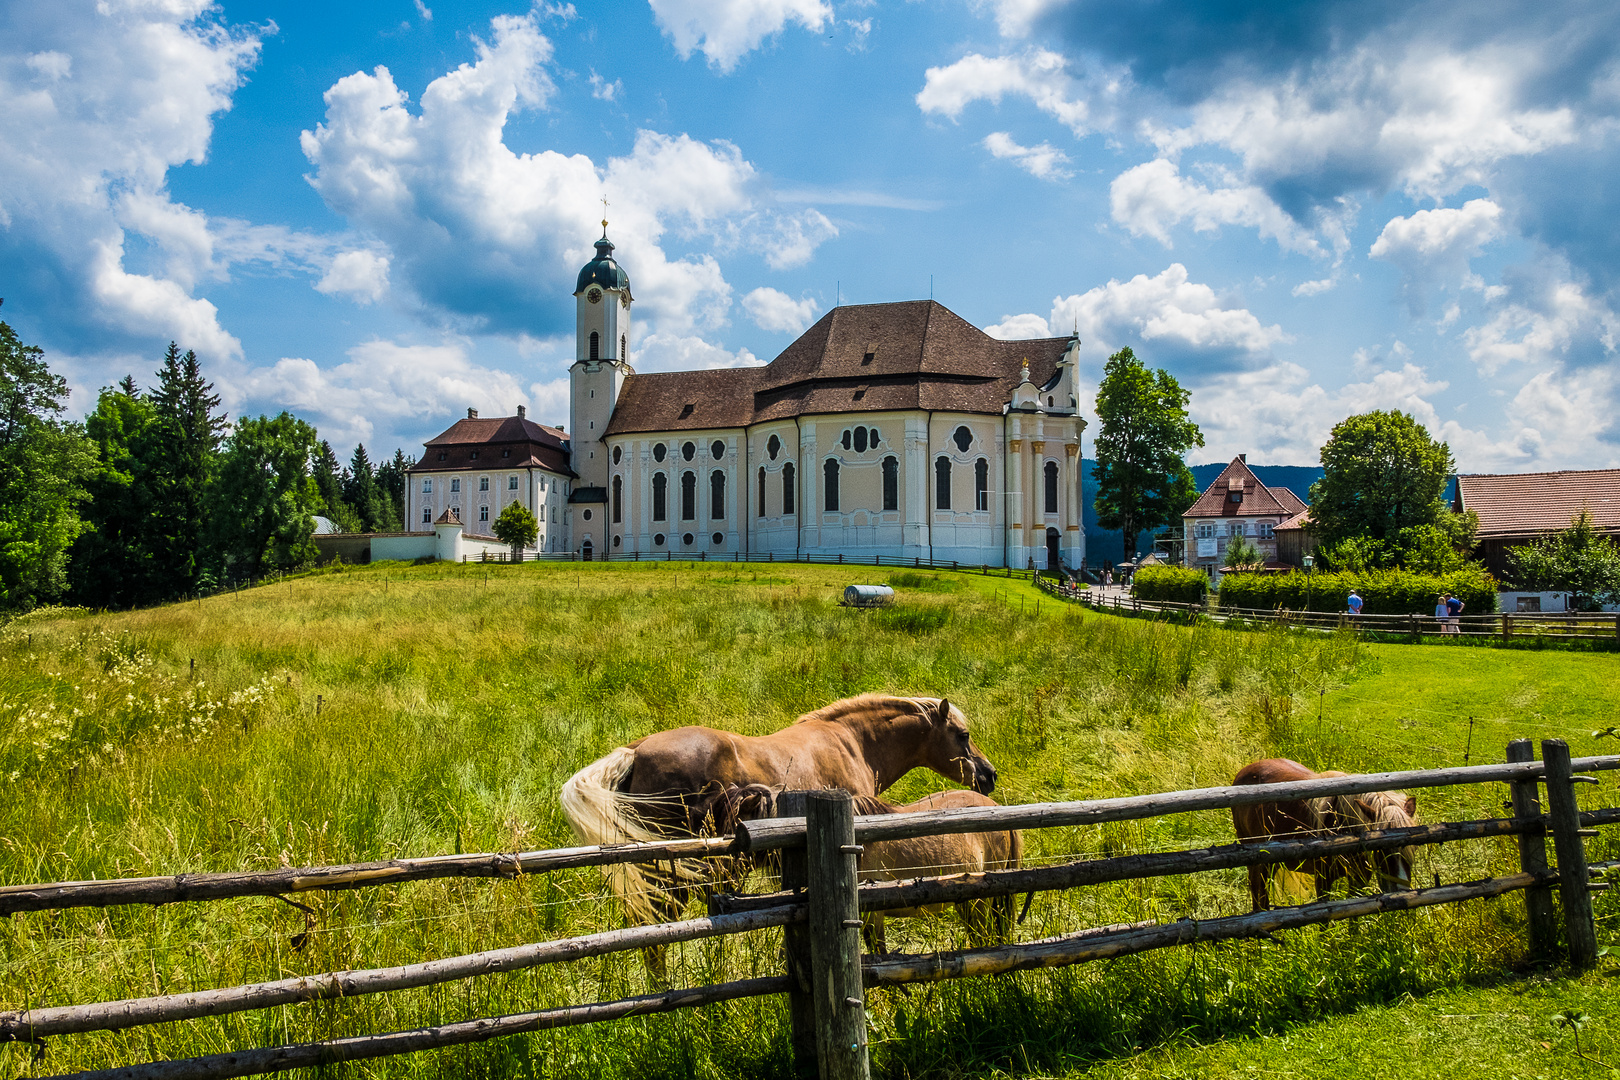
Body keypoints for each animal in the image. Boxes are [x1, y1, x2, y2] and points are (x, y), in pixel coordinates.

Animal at [1224, 761, 1419, 913]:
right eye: (1381, 847)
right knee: (1258, 892)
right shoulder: (1323, 879)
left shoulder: (1359, 879)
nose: (1402, 892)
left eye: (1413, 845)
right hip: (1258, 861)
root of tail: (1245, 771)